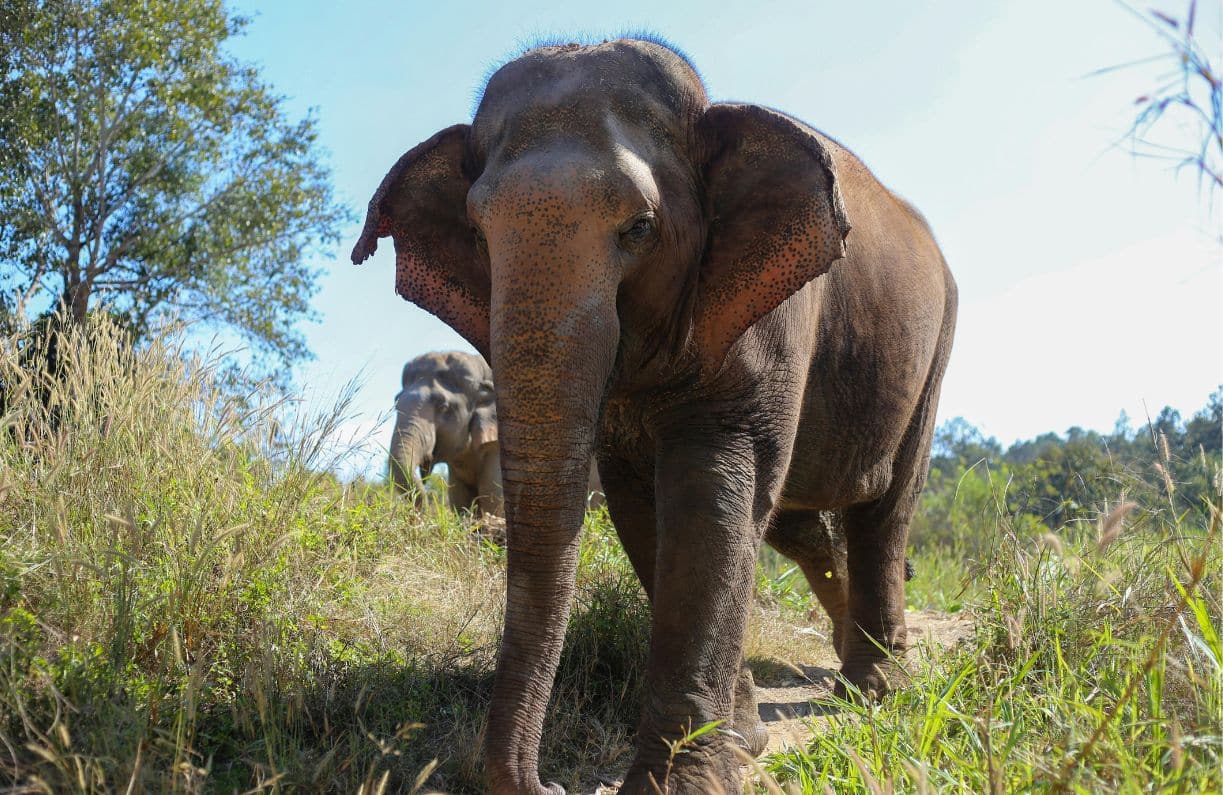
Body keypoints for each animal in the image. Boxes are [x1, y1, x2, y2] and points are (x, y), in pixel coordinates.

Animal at [353, 37, 956, 794]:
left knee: (885, 509)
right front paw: (743, 742)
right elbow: (642, 509)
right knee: (802, 526)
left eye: (640, 227)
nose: (550, 783)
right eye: (479, 234)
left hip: (934, 350)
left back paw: (875, 689)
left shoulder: (775, 314)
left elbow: (710, 498)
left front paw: (686, 778)